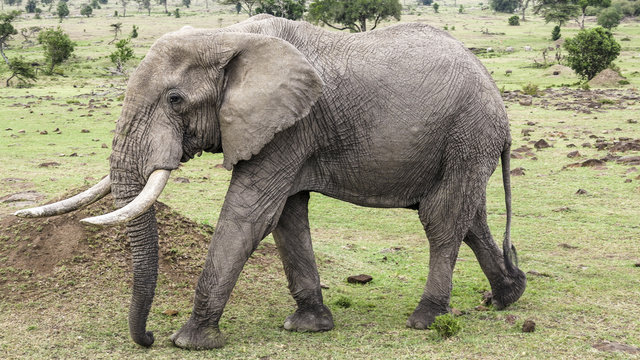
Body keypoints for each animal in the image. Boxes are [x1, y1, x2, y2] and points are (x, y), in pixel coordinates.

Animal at [17, 14, 528, 348]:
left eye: (176, 100)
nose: (148, 337)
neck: (225, 35)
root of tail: (498, 102)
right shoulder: (286, 130)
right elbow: (286, 217)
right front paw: (308, 327)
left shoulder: (291, 125)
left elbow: (249, 214)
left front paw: (190, 341)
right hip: (465, 142)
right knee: (469, 218)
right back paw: (507, 296)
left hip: (467, 132)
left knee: (442, 220)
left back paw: (425, 320)